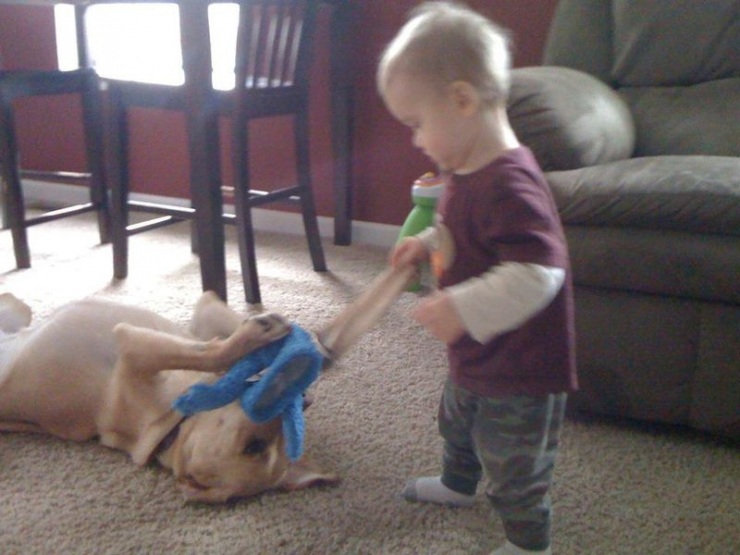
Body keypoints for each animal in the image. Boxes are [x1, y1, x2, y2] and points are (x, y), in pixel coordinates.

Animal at [0, 291, 339, 503]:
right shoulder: (152, 337)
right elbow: (214, 343)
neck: (170, 426)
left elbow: (212, 348)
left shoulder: (138, 343)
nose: (301, 399)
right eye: (253, 447)